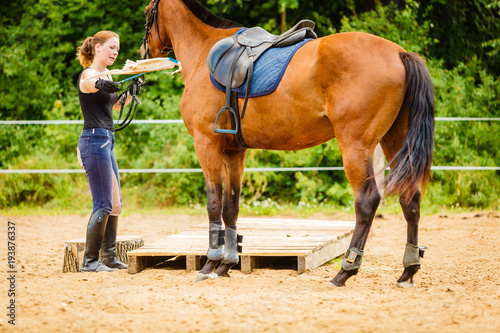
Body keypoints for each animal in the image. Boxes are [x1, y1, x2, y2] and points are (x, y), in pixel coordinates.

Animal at [140, 0, 434, 286]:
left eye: (146, 14)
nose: (144, 51)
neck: (205, 52)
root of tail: (399, 53)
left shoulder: (207, 144)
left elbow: (214, 203)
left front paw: (210, 264)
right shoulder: (234, 151)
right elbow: (231, 206)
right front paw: (227, 264)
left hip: (355, 147)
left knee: (367, 201)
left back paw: (345, 271)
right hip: (394, 141)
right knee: (410, 198)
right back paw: (408, 271)